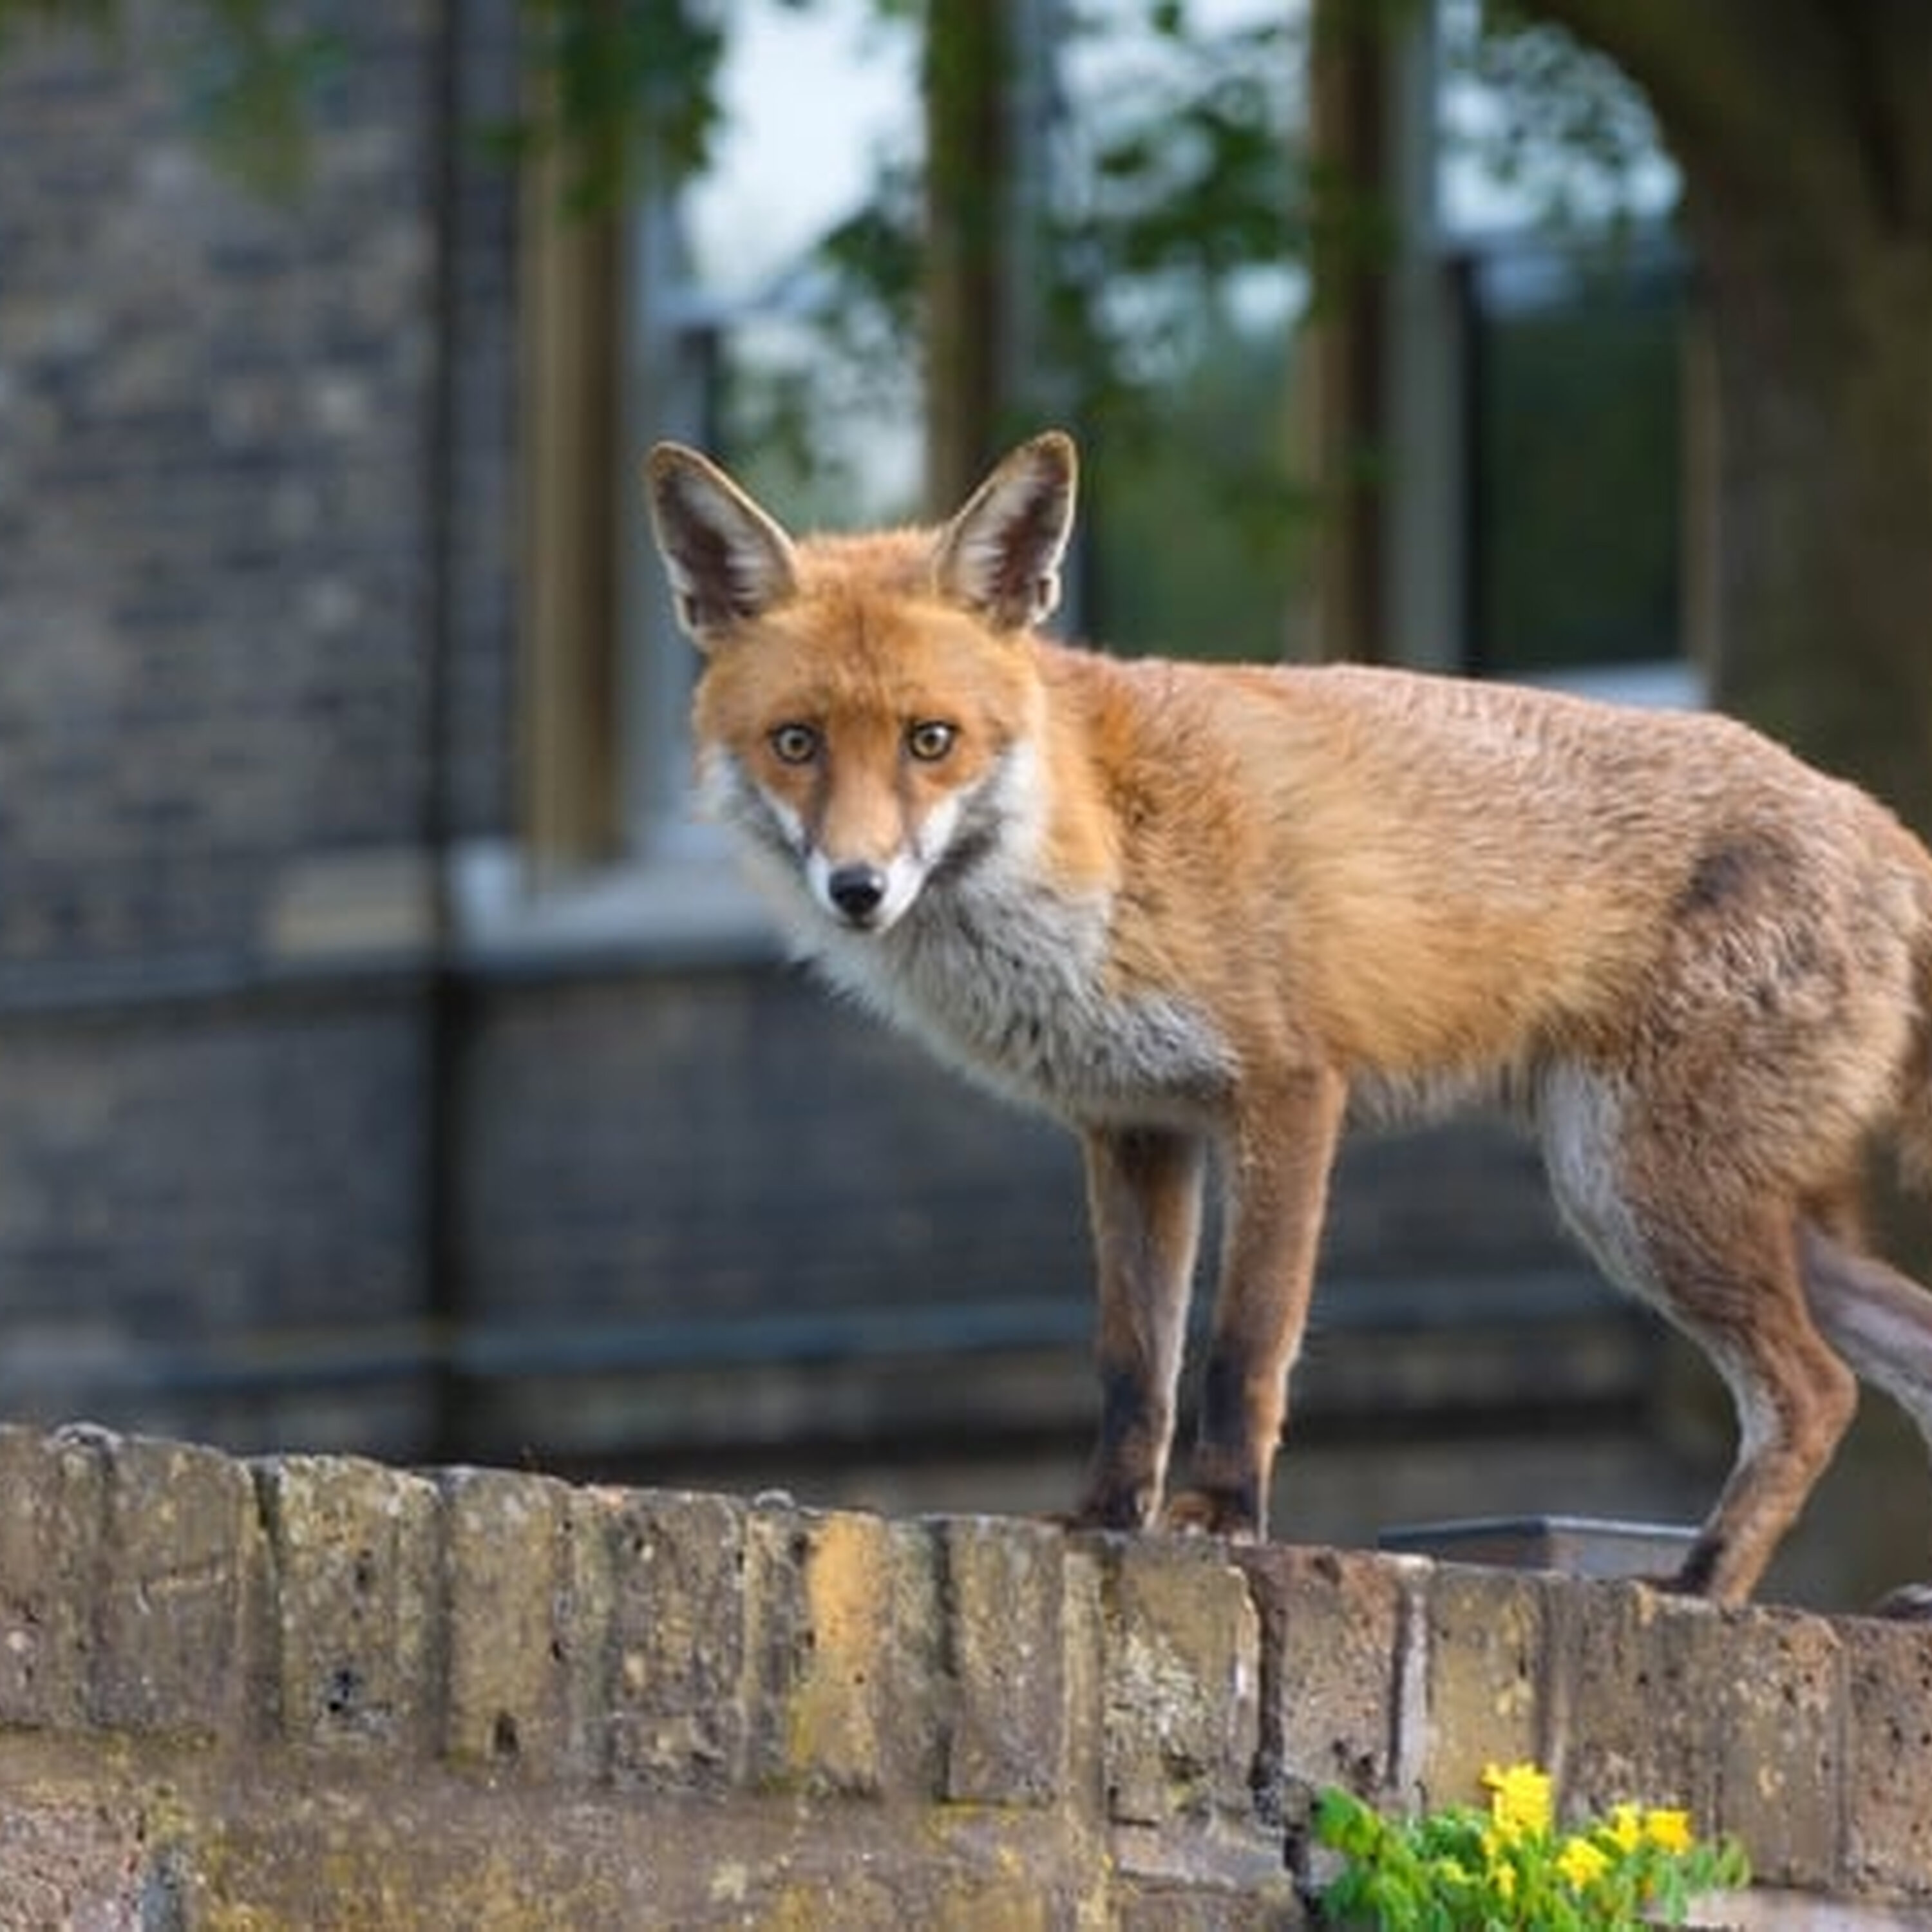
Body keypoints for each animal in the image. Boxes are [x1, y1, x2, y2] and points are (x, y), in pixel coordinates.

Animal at [646, 428, 1932, 1614]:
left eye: (931, 740)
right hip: (1678, 1202)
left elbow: (1242, 1343)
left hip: (1643, 1193)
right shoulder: (1134, 1126)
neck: (1102, 852)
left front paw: (1221, 1517)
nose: (857, 888)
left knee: (1814, 1392)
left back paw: (1703, 1586)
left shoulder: (1288, 1091)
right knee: (1902, 1348)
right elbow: (1133, 1362)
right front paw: (1104, 1519)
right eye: (797, 743)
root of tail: (1879, 822)